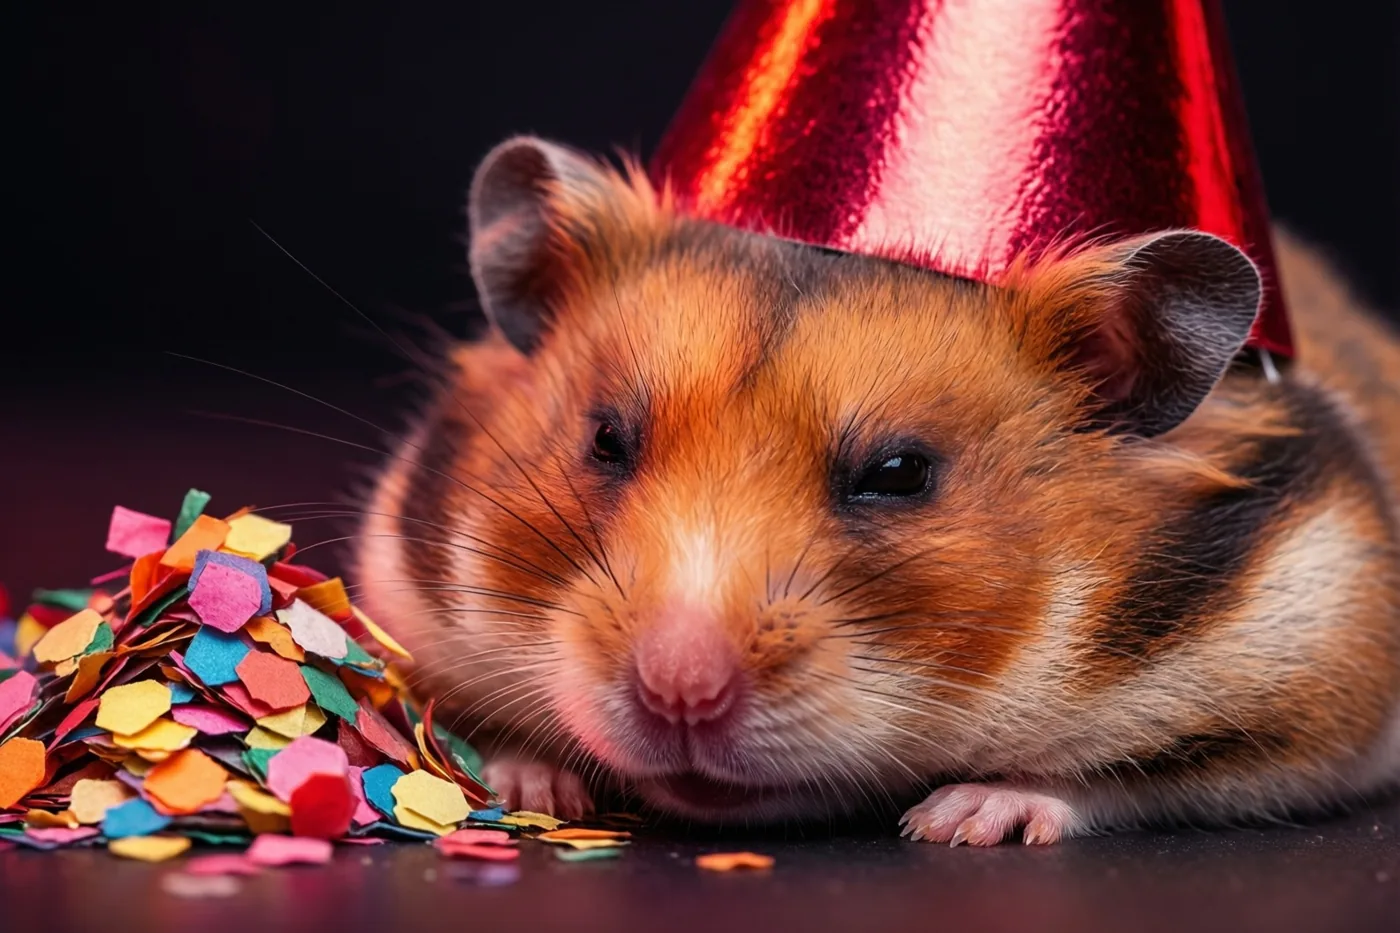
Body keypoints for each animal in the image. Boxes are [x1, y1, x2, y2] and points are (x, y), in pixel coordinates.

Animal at [354, 136, 1400, 845]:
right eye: (606, 438)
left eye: (899, 474)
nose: (677, 692)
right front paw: (533, 785)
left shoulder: (1321, 675)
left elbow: (1128, 778)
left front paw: (959, 818)